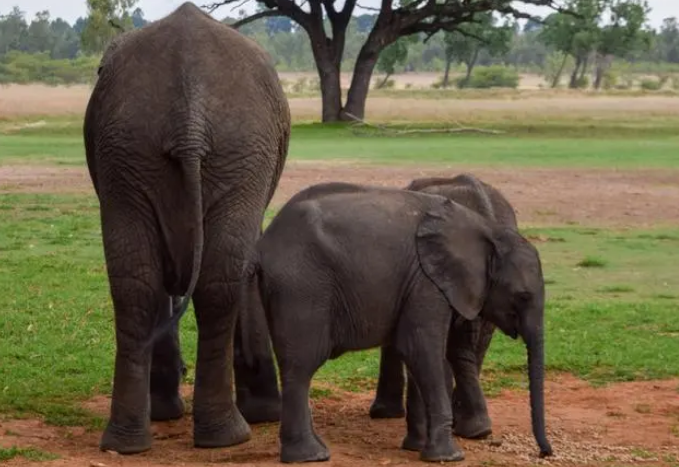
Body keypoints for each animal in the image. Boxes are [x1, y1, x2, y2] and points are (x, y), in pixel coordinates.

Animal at [83, 2, 290, 454]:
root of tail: (188, 115)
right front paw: (265, 412)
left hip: (130, 151)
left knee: (137, 284)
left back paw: (127, 442)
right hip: (234, 152)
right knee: (220, 281)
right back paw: (229, 436)